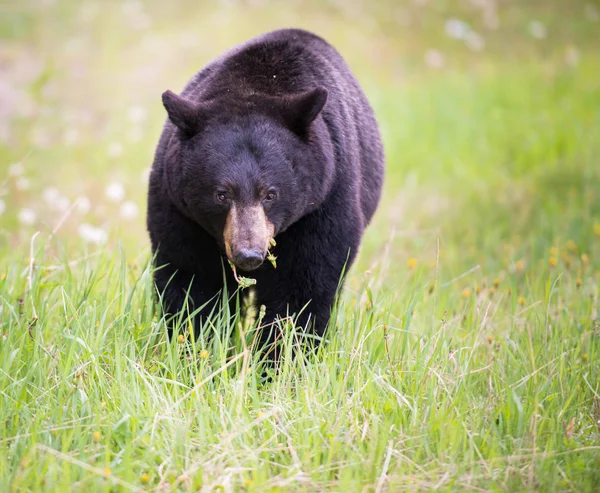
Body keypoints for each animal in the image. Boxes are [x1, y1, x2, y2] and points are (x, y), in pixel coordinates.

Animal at [148, 26, 386, 352]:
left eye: (271, 194)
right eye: (221, 194)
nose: (249, 254)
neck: (253, 87)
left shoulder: (326, 199)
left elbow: (303, 286)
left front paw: (284, 356)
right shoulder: (179, 209)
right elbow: (192, 279)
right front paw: (195, 345)